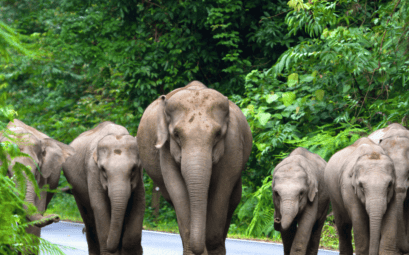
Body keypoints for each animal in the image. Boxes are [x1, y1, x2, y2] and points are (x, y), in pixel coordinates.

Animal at [62, 122, 145, 255]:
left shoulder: (140, 176)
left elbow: (139, 204)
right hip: (76, 189)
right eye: (103, 170)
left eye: (133, 169)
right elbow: (100, 206)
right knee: (89, 219)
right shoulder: (92, 170)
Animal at [137, 80, 252, 254]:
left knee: (232, 201)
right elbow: (177, 190)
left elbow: (222, 189)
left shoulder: (233, 145)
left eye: (218, 134)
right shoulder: (166, 150)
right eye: (176, 135)